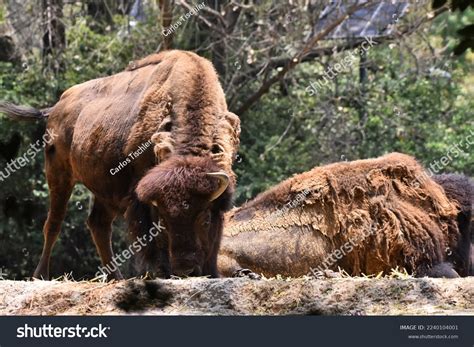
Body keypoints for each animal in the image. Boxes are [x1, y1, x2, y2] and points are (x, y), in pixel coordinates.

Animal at [0, 49, 241, 280]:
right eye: (163, 219)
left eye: (205, 218)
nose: (185, 269)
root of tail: (58, 106)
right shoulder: (140, 197)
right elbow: (146, 234)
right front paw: (159, 271)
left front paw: (212, 273)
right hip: (59, 174)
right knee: (54, 223)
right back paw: (41, 275)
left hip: (103, 188)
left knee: (98, 225)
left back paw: (114, 276)